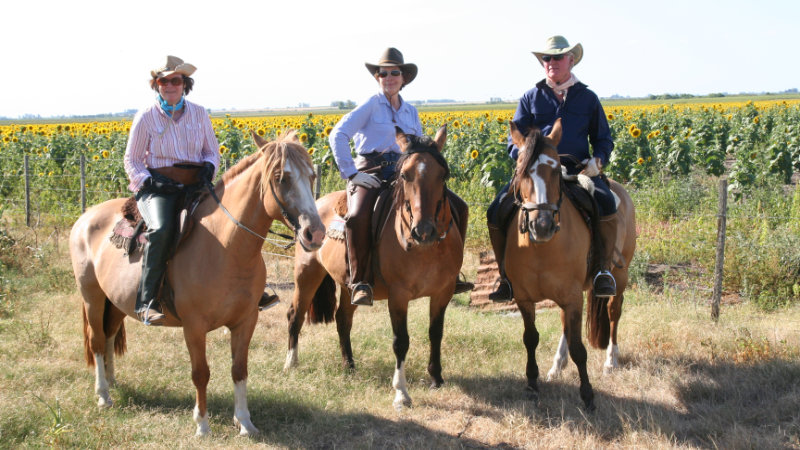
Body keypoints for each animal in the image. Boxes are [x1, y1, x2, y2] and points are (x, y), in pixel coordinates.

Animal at [69, 131, 324, 436]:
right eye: (280, 177)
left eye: (311, 175)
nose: (315, 233)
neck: (225, 247)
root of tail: (87, 216)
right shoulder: (194, 326)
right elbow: (201, 373)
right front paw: (202, 424)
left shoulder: (246, 321)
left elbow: (239, 369)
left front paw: (244, 422)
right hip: (91, 296)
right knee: (96, 339)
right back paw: (103, 394)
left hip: (116, 301)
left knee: (108, 335)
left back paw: (112, 381)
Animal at [284, 126, 466, 412]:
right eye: (404, 175)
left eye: (443, 175)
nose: (423, 230)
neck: (424, 248)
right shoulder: (398, 296)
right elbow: (401, 341)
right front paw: (401, 393)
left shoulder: (443, 292)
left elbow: (435, 333)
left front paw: (436, 378)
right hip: (306, 274)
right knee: (295, 314)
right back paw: (291, 363)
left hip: (348, 285)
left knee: (342, 319)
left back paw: (349, 365)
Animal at [506, 120, 636, 412]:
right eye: (520, 169)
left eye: (556, 171)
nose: (541, 225)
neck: (541, 248)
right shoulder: (525, 297)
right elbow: (531, 338)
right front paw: (532, 384)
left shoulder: (572, 295)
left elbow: (580, 348)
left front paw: (587, 395)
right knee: (567, 324)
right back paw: (557, 364)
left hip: (619, 276)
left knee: (613, 313)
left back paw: (611, 359)